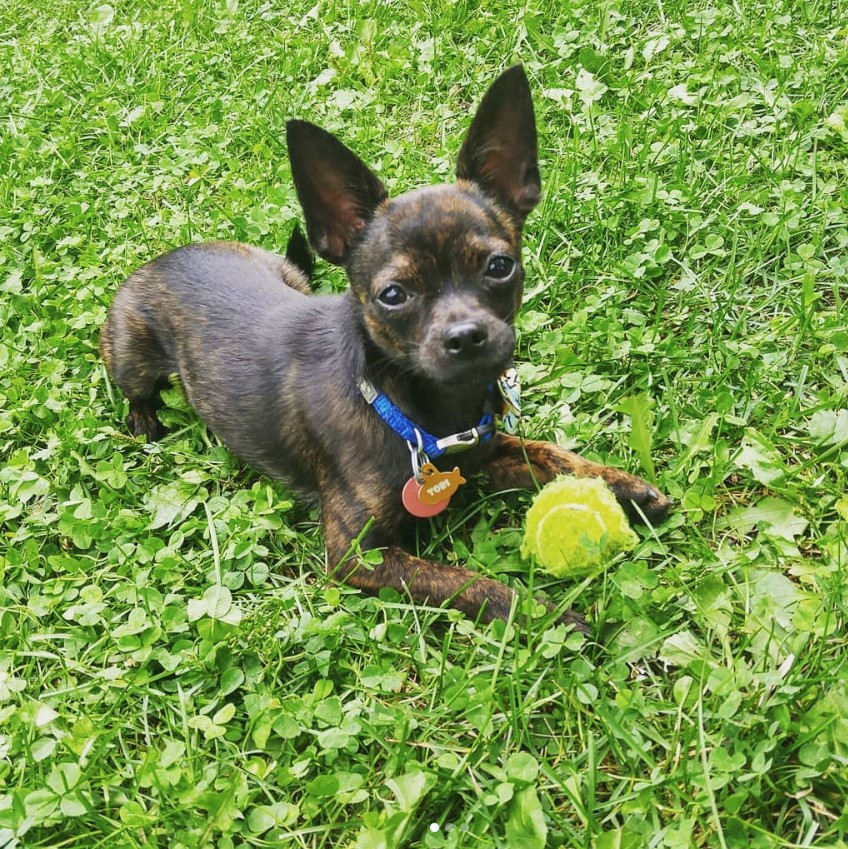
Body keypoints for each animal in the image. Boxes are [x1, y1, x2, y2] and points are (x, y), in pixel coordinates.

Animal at [101, 66, 668, 628]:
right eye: (393, 295)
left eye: (500, 266)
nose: (466, 335)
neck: (418, 405)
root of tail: (166, 258)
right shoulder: (357, 556)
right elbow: (468, 583)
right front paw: (543, 614)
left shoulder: (484, 453)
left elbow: (552, 455)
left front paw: (626, 488)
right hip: (130, 353)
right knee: (133, 388)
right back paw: (145, 420)